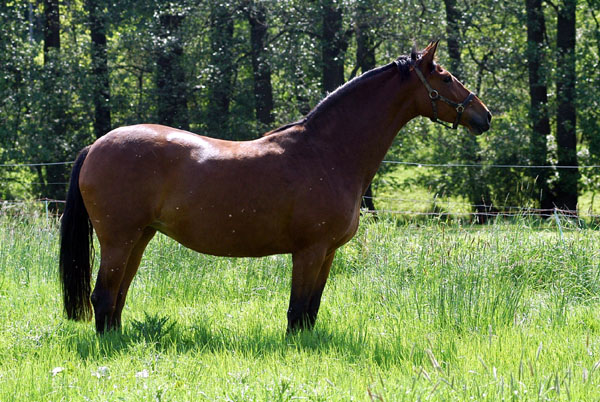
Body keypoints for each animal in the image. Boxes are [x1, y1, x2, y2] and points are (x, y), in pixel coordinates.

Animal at [61, 41, 492, 336]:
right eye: (446, 77)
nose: (484, 116)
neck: (327, 152)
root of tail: (96, 145)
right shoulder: (309, 250)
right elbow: (297, 310)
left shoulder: (327, 253)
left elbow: (311, 310)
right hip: (119, 239)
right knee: (104, 296)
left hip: (139, 237)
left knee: (118, 296)